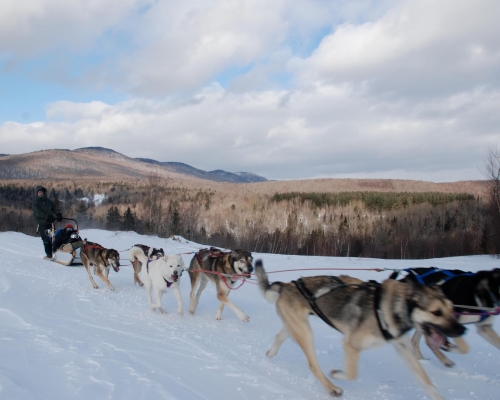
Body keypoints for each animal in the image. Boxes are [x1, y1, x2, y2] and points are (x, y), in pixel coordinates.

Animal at [256, 260, 466, 398]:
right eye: (436, 312)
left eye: (451, 309)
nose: (462, 330)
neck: (391, 306)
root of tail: (286, 284)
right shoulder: (351, 344)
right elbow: (352, 374)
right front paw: (337, 374)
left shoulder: (402, 348)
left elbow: (427, 382)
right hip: (306, 334)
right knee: (313, 364)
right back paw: (332, 388)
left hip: (295, 327)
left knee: (279, 337)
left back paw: (270, 354)